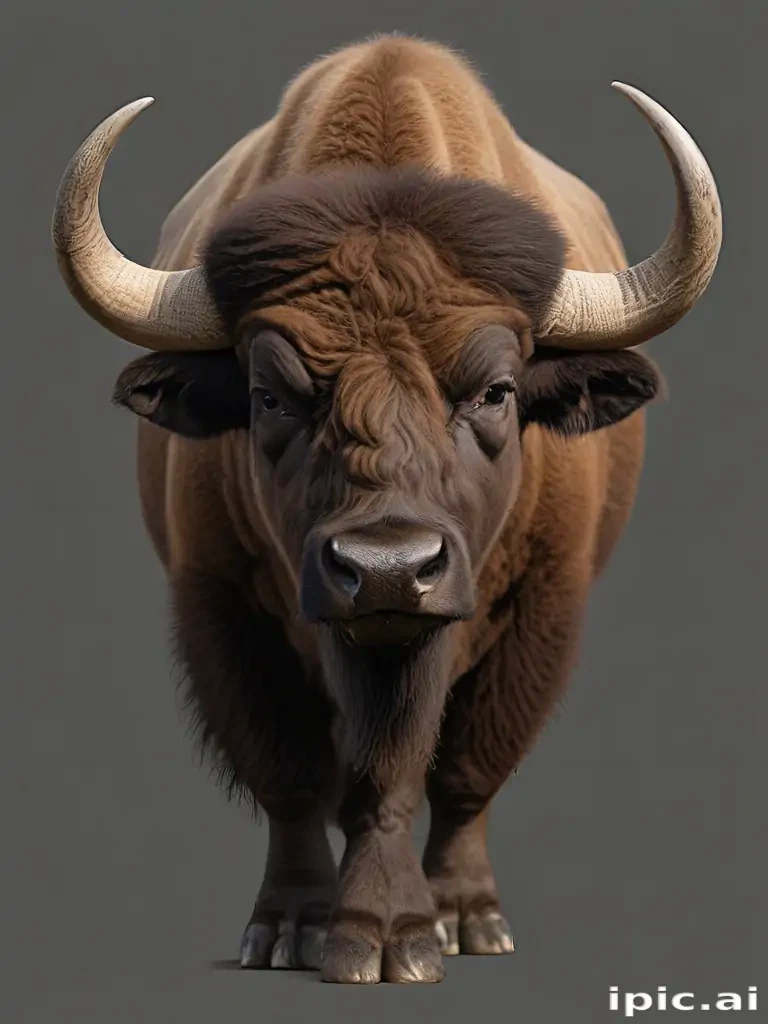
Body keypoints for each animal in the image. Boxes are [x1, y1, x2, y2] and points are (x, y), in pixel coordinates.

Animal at [52, 36, 721, 984]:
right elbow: (294, 771)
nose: (386, 569)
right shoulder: (221, 604)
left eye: (497, 391)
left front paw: (423, 927)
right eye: (267, 394)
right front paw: (294, 928)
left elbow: (437, 770)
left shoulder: (530, 608)